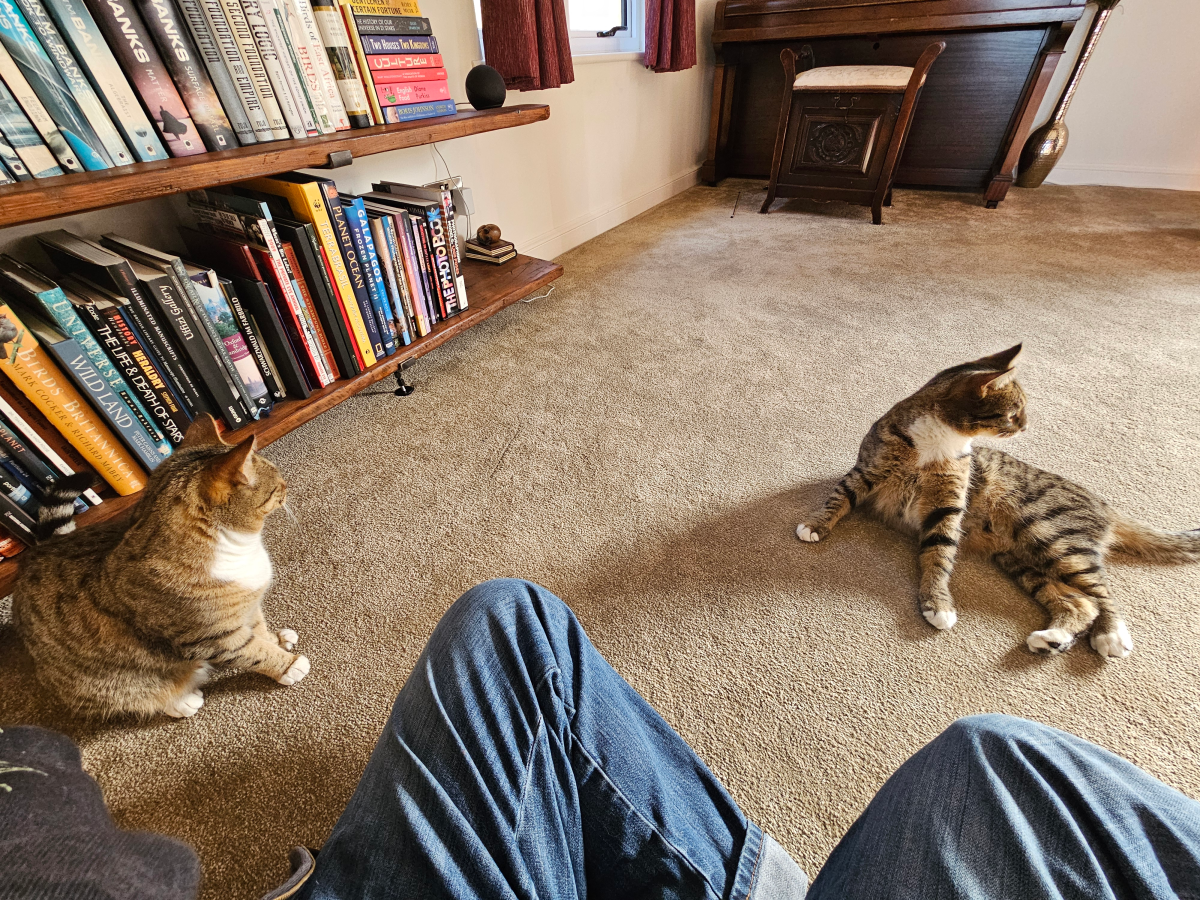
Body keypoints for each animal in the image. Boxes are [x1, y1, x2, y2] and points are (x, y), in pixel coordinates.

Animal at [11, 415, 309, 719]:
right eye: (277, 485)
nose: (287, 486)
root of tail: (37, 552)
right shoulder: (209, 637)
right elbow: (252, 651)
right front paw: (288, 664)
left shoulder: (248, 605)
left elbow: (259, 630)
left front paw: (275, 639)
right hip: (107, 684)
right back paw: (182, 700)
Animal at [796, 345, 1199, 658]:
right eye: (1013, 412)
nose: (1025, 426)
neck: (943, 439)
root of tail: (1105, 506)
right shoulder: (867, 470)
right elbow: (838, 498)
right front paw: (814, 525)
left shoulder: (948, 506)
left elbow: (939, 555)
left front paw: (938, 604)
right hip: (1025, 559)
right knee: (1081, 603)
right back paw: (1053, 639)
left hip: (1054, 539)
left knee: (1103, 594)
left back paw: (1111, 635)